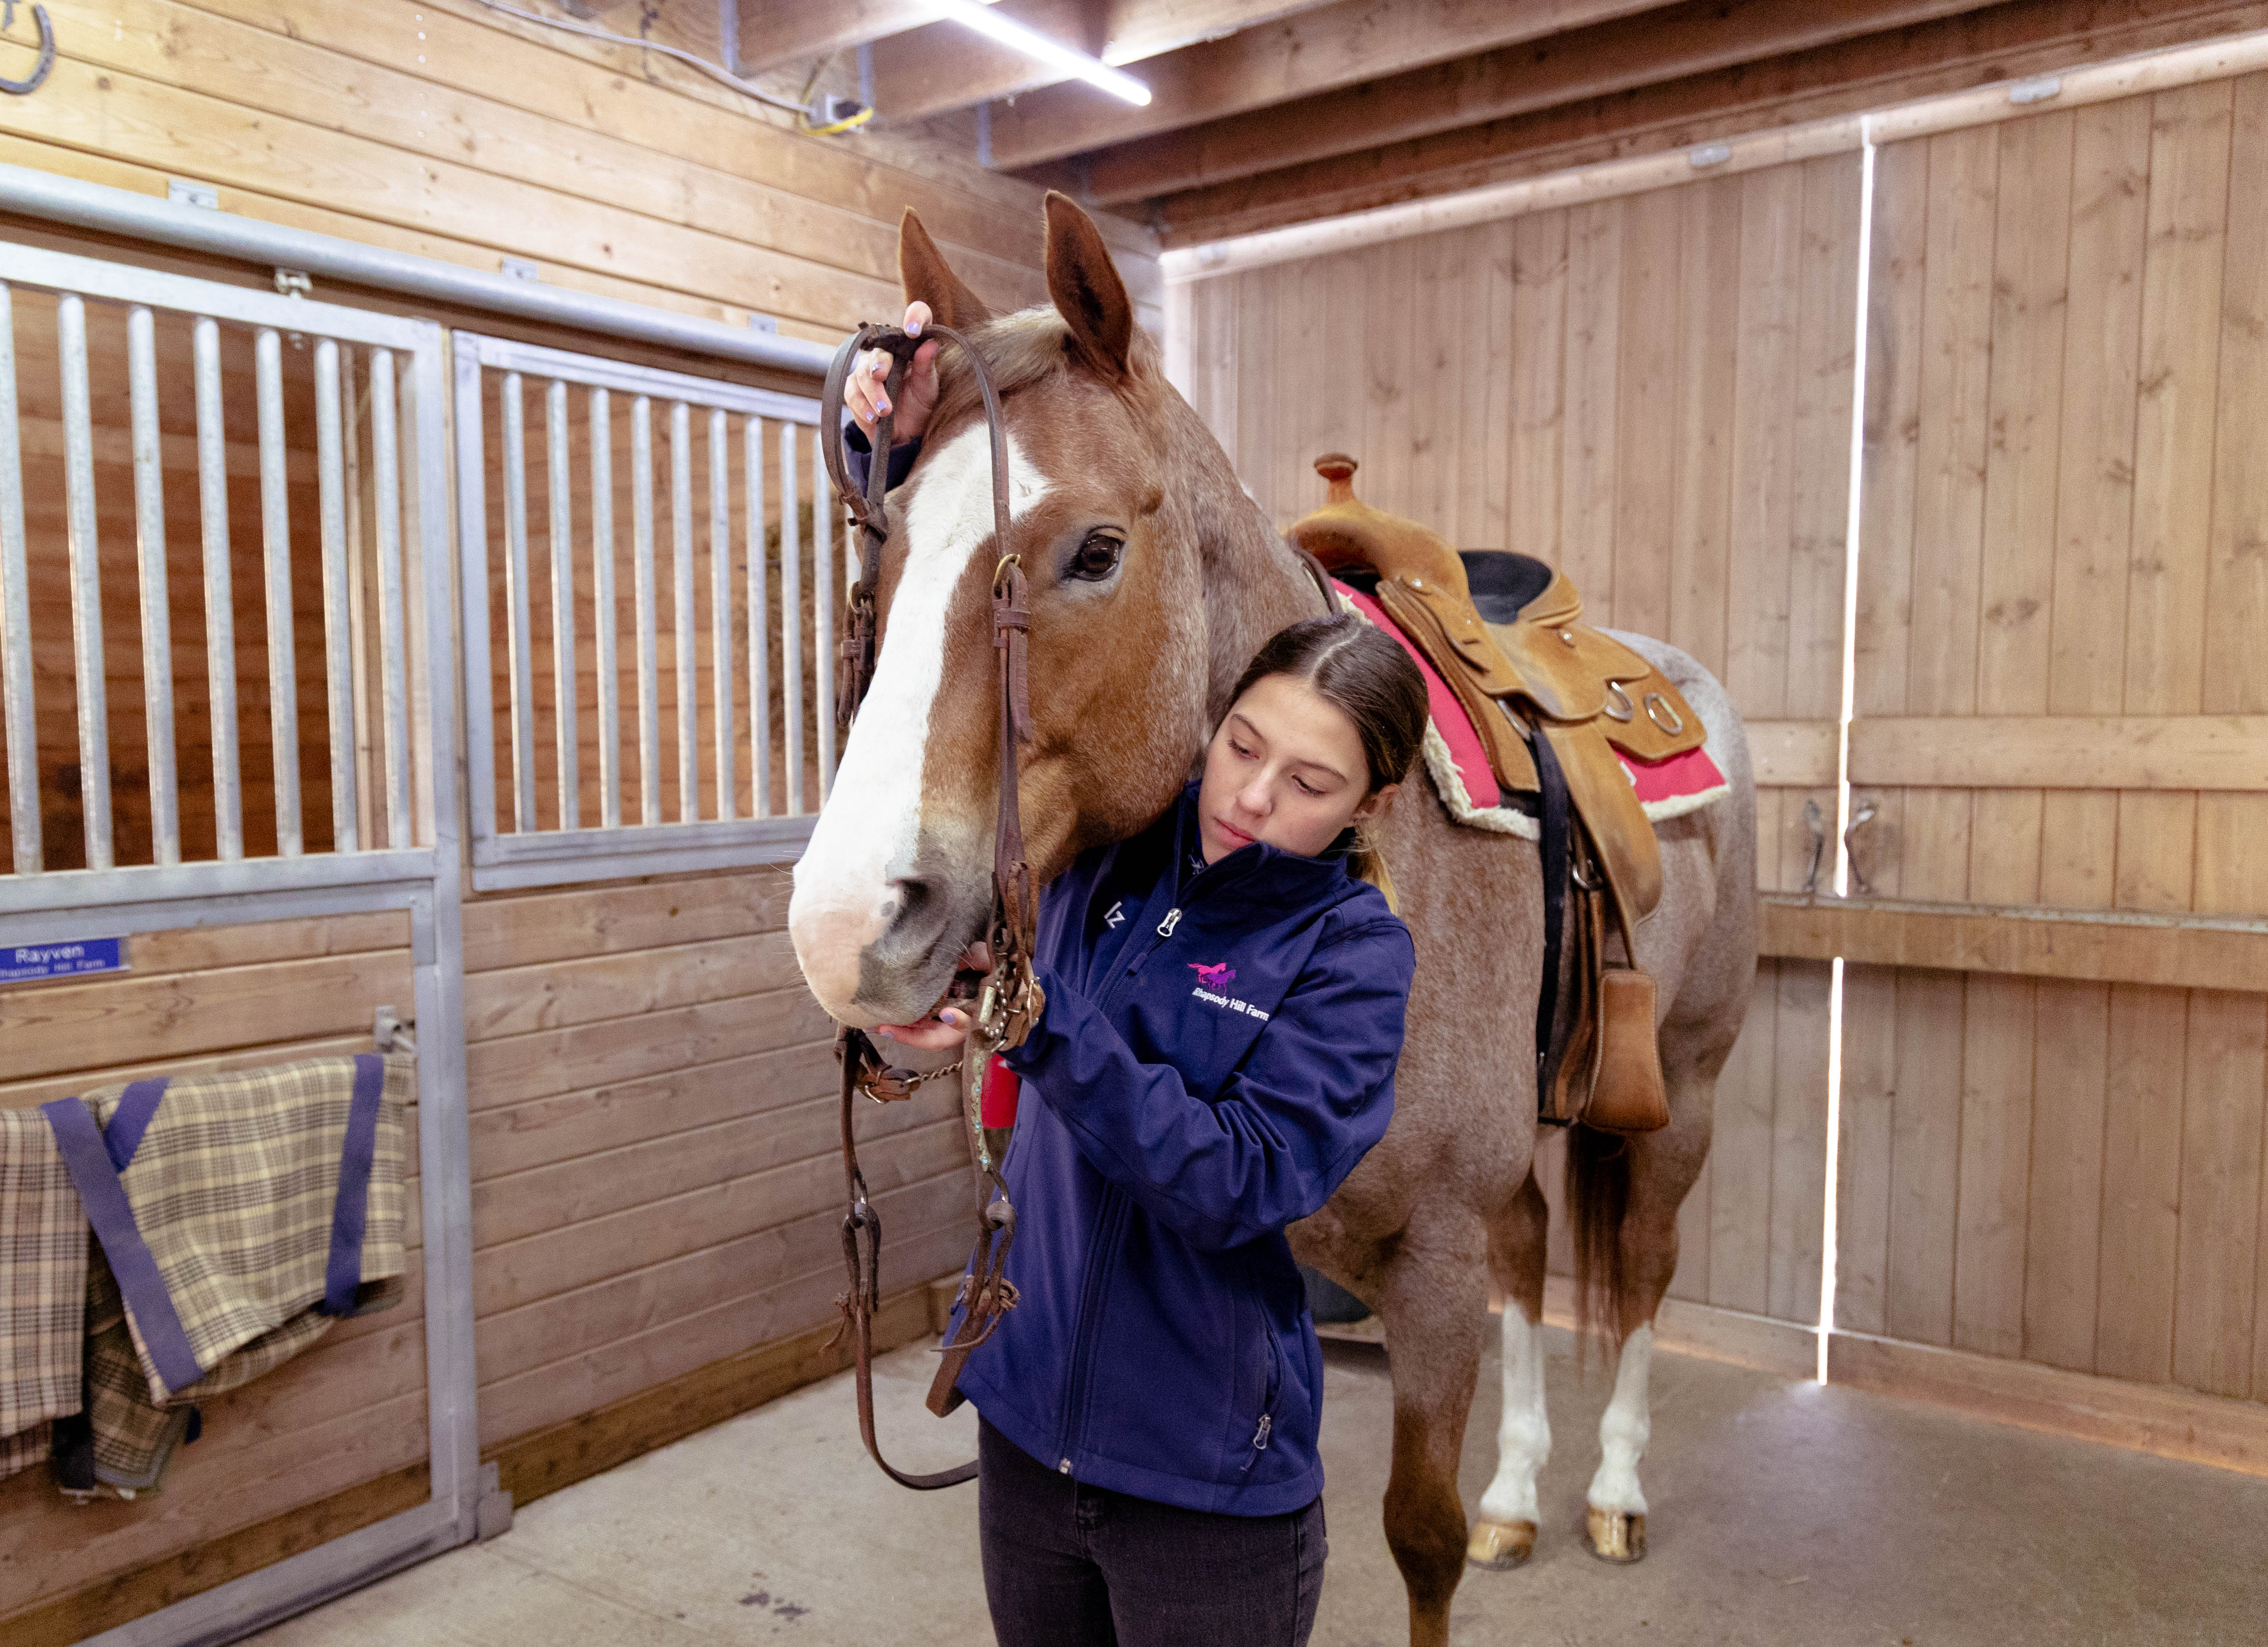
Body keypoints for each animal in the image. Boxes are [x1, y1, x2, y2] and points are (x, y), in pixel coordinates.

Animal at [789, 196, 1760, 1647]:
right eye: (884, 547)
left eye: (1092, 551)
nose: (847, 924)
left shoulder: (1429, 1270)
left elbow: (1420, 1543)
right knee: (1535, 1251)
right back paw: (1521, 1493)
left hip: (1679, 1092)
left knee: (1638, 1260)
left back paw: (1612, 1490)